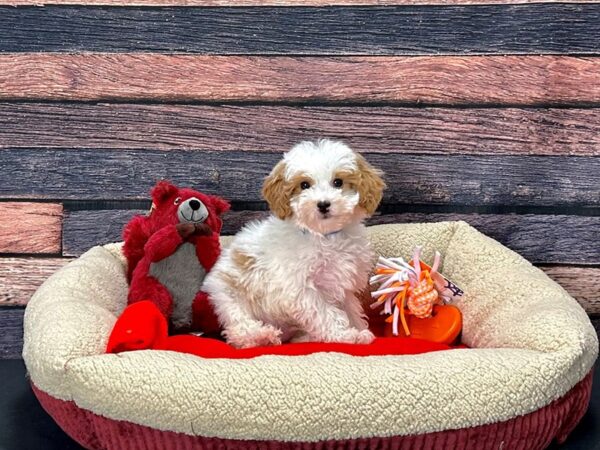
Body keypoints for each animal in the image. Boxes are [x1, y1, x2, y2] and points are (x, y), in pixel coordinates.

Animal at [204, 140, 386, 348]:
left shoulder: (344, 285)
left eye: (338, 182)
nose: (323, 204)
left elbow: (350, 309)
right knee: (239, 329)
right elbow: (324, 312)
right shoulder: (300, 288)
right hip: (230, 297)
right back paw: (262, 335)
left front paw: (359, 331)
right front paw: (342, 334)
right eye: (304, 185)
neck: (324, 236)